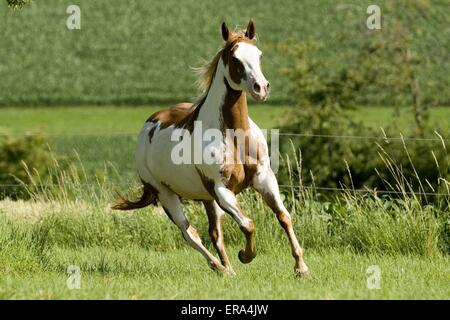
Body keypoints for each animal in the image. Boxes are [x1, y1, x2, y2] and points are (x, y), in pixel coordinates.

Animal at [114, 20, 308, 276]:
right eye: (235, 58)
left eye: (259, 54)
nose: (261, 88)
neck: (235, 137)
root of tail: (150, 123)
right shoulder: (221, 189)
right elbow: (247, 224)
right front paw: (246, 255)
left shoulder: (264, 178)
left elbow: (284, 217)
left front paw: (301, 267)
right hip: (165, 194)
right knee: (189, 233)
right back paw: (220, 267)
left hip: (206, 198)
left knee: (214, 233)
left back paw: (228, 269)